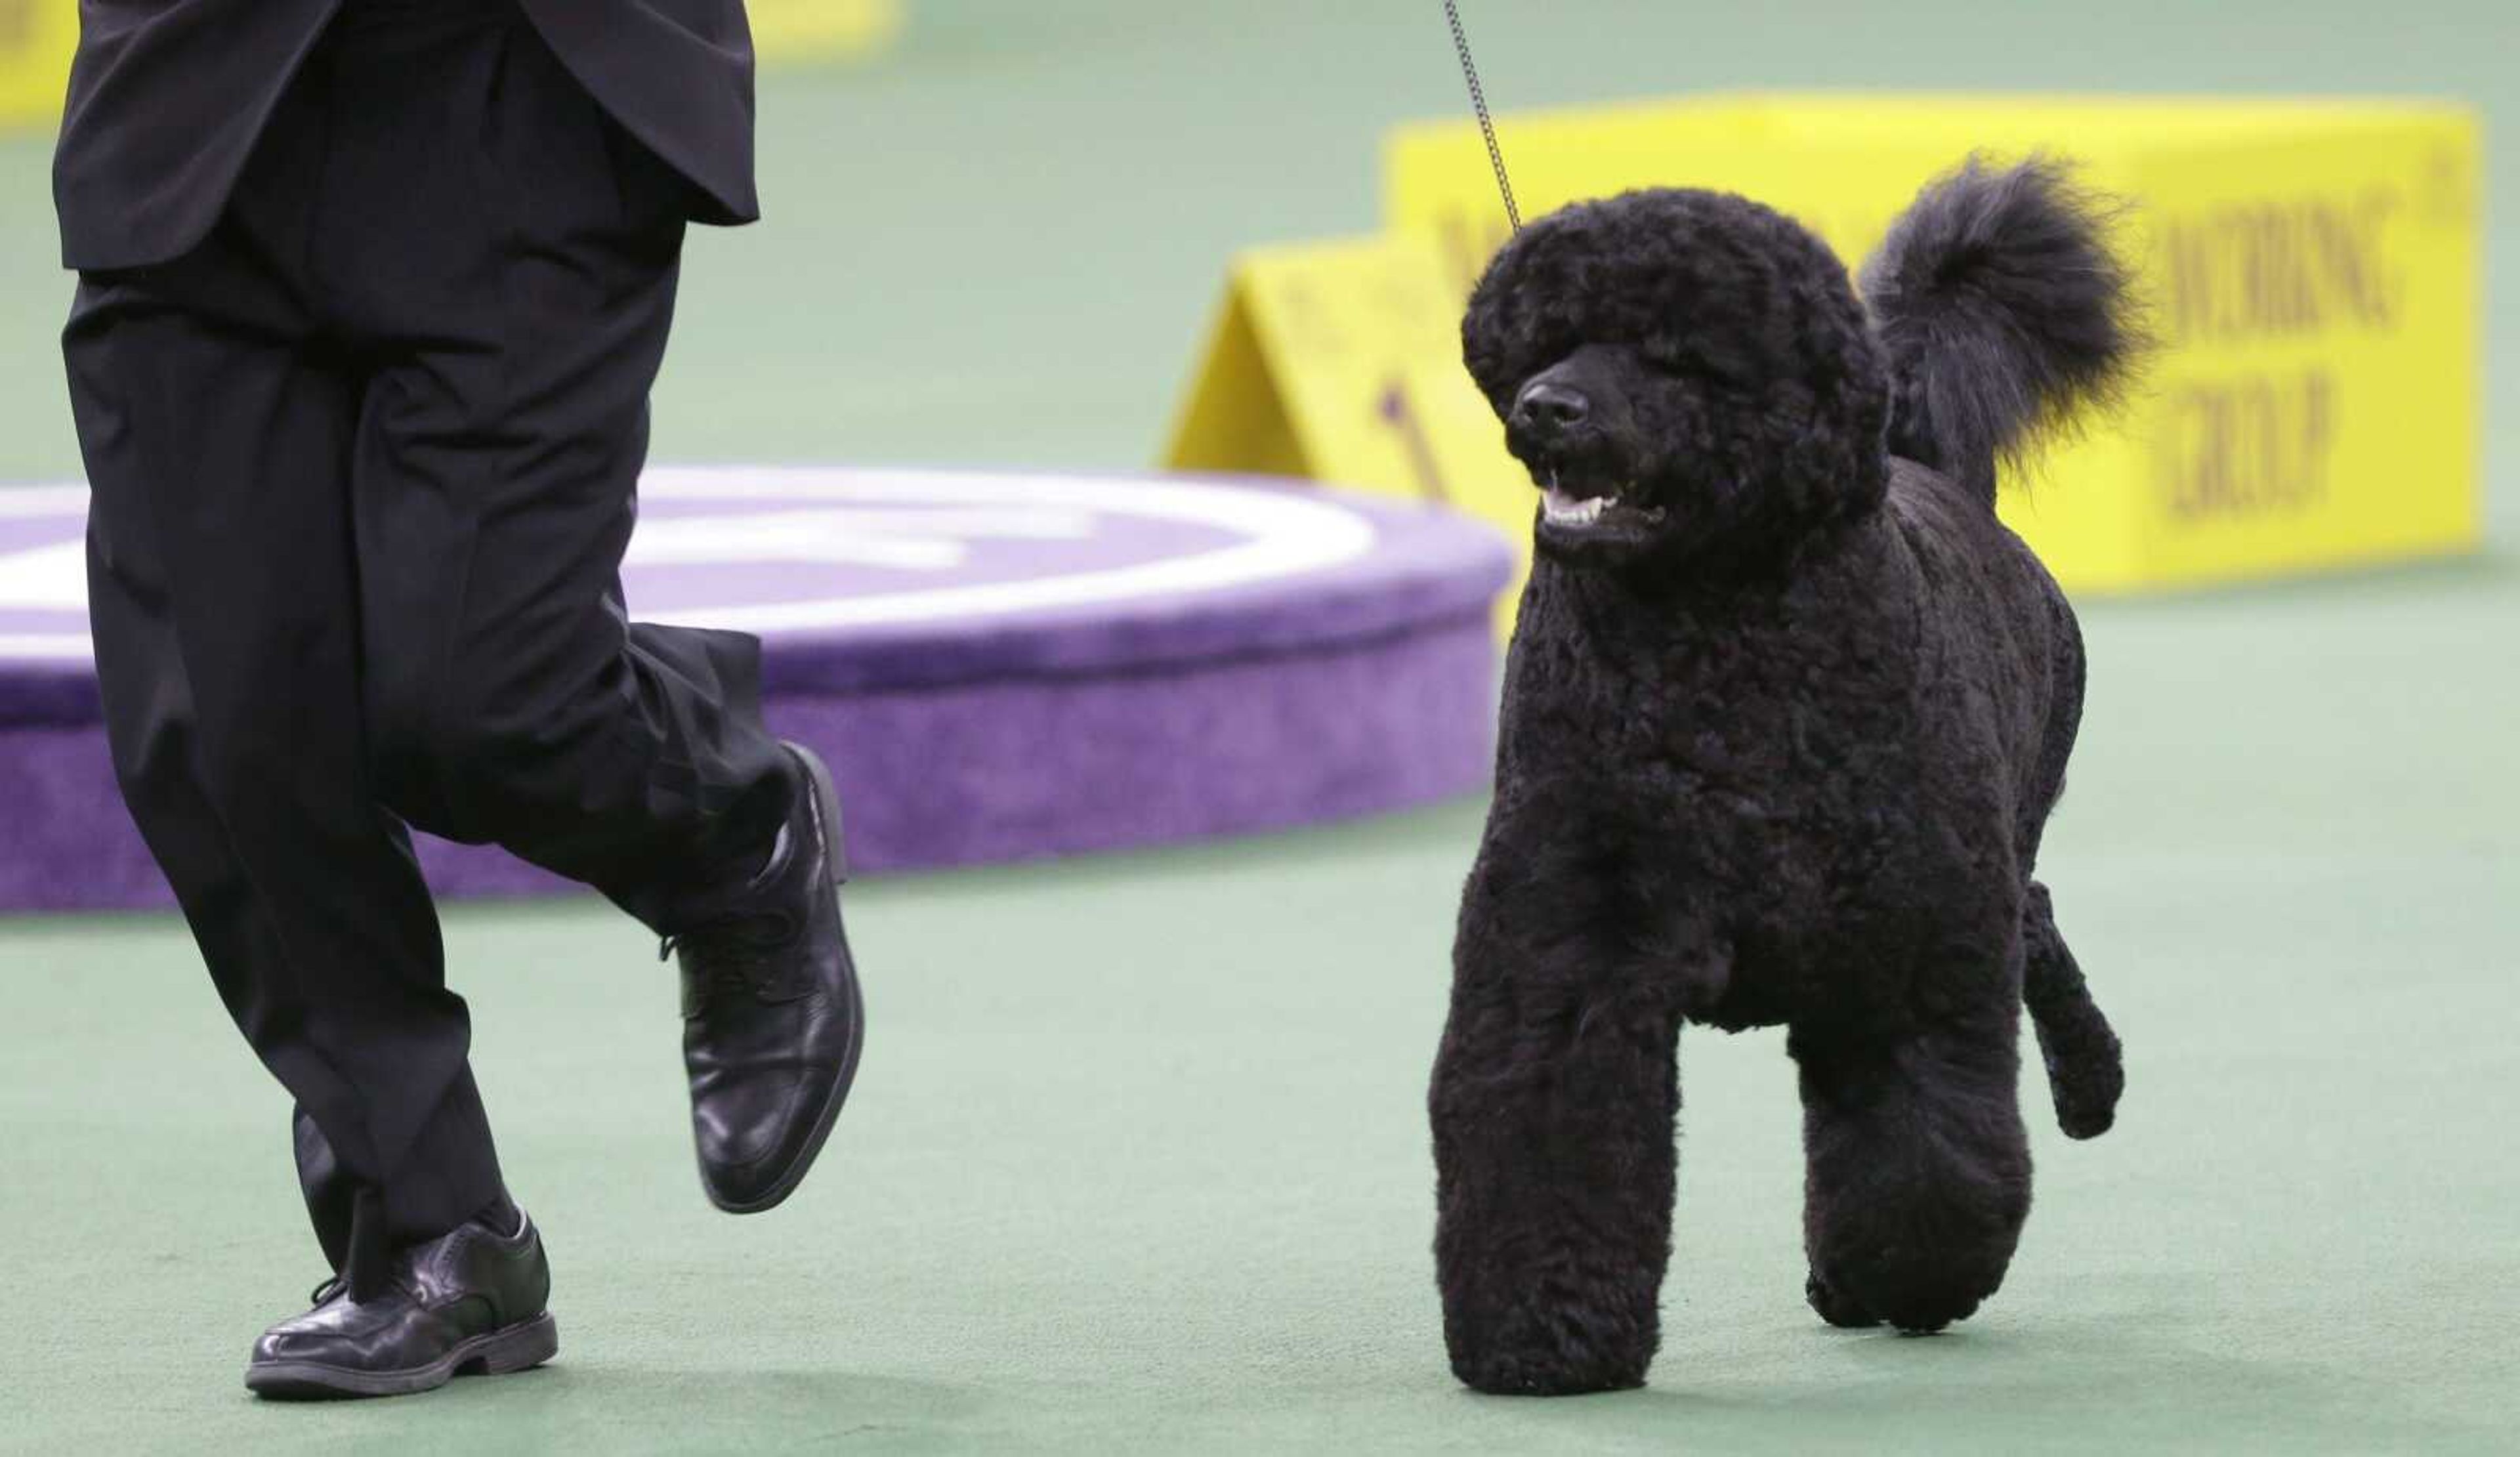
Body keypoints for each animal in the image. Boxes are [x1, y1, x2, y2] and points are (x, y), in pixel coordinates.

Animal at [1431, 153, 2137, 1391]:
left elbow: (1924, 1155)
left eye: (1678, 354)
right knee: (2039, 913)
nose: (1547, 408)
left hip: (1994, 839)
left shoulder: (1910, 962)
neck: (1722, 646)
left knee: (2035, 918)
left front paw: (1909, 1276)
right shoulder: (1567, 943)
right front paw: (1544, 1336)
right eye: (1548, 339)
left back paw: (2089, 1088)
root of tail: (1932, 467)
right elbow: (1547, 1137)